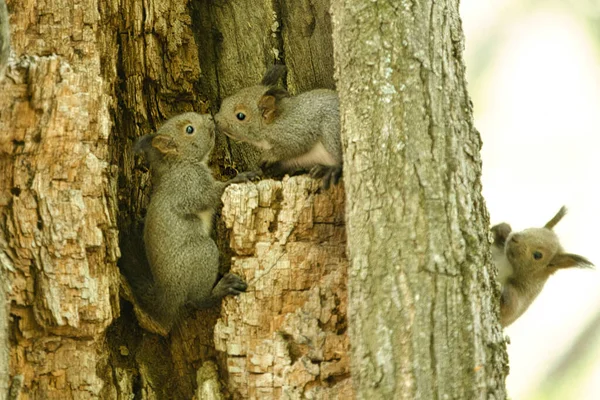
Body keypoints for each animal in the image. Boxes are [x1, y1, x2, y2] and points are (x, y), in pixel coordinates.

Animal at [132, 111, 250, 332]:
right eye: (189, 129)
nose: (210, 118)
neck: (179, 162)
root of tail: (168, 297)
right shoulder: (187, 185)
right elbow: (206, 196)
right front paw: (237, 179)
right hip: (201, 254)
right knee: (197, 300)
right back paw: (219, 290)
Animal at [214, 65, 342, 190]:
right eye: (225, 101)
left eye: (240, 116)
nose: (216, 119)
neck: (273, 124)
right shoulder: (295, 158)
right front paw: (260, 171)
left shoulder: (296, 132)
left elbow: (293, 147)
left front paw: (265, 157)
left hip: (331, 131)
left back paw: (330, 170)